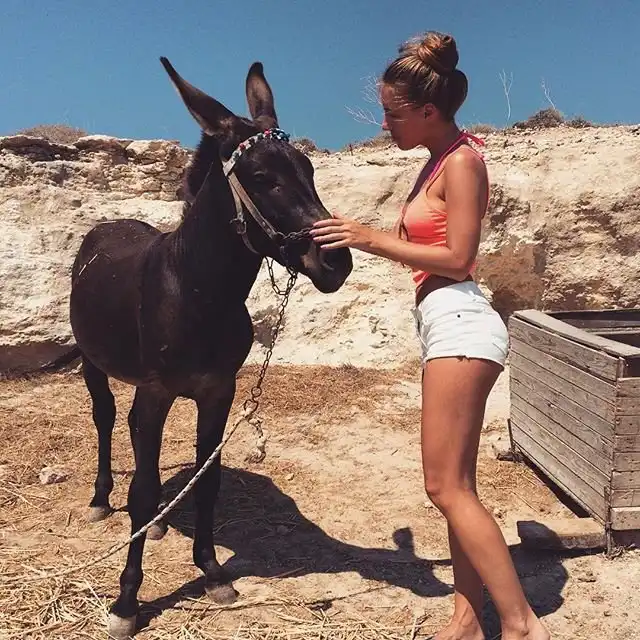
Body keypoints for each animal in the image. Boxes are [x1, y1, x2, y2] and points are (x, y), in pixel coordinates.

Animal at [68, 56, 353, 638]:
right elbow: (141, 491)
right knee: (106, 421)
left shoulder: (218, 392)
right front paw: (126, 602)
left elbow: (207, 481)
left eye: (310, 170)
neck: (197, 291)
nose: (336, 261)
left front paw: (212, 570)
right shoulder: (156, 393)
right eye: (263, 179)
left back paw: (157, 522)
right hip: (94, 363)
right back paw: (102, 499)